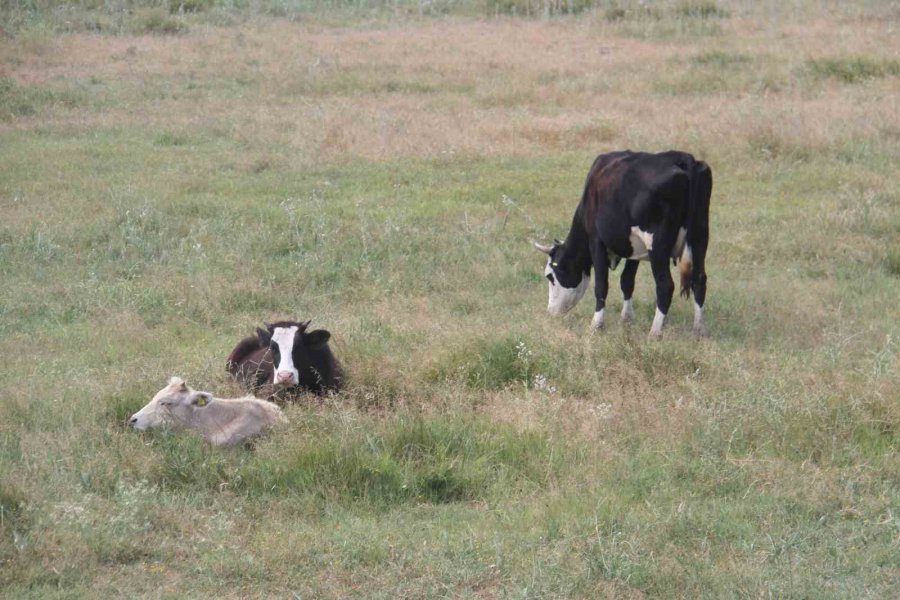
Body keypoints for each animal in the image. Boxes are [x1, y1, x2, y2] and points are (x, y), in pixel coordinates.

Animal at [532, 150, 712, 338]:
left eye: (550, 276)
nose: (551, 311)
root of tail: (682, 158)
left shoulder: (596, 241)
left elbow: (601, 285)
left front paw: (596, 324)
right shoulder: (634, 247)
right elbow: (627, 280)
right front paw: (626, 318)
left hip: (657, 245)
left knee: (665, 286)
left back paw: (654, 332)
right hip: (700, 237)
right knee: (699, 280)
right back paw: (699, 329)